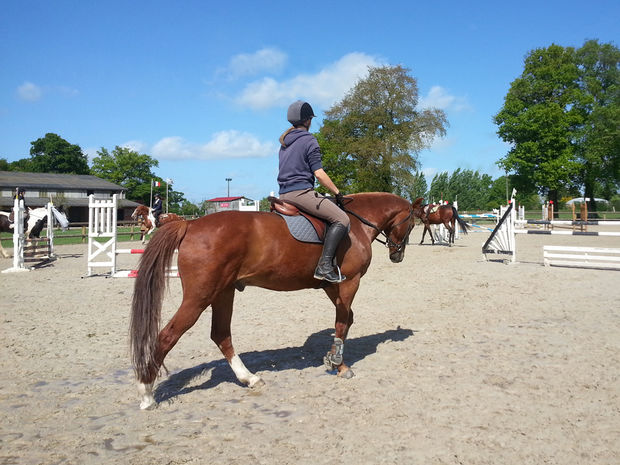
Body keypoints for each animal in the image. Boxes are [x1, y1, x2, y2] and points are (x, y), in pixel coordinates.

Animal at [129, 191, 424, 406]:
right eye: (411, 223)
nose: (397, 255)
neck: (357, 224)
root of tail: (189, 224)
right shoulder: (349, 282)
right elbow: (343, 321)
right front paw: (340, 365)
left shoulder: (332, 286)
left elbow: (346, 318)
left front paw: (331, 357)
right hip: (200, 296)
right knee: (168, 335)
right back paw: (146, 393)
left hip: (223, 292)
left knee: (221, 334)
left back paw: (249, 378)